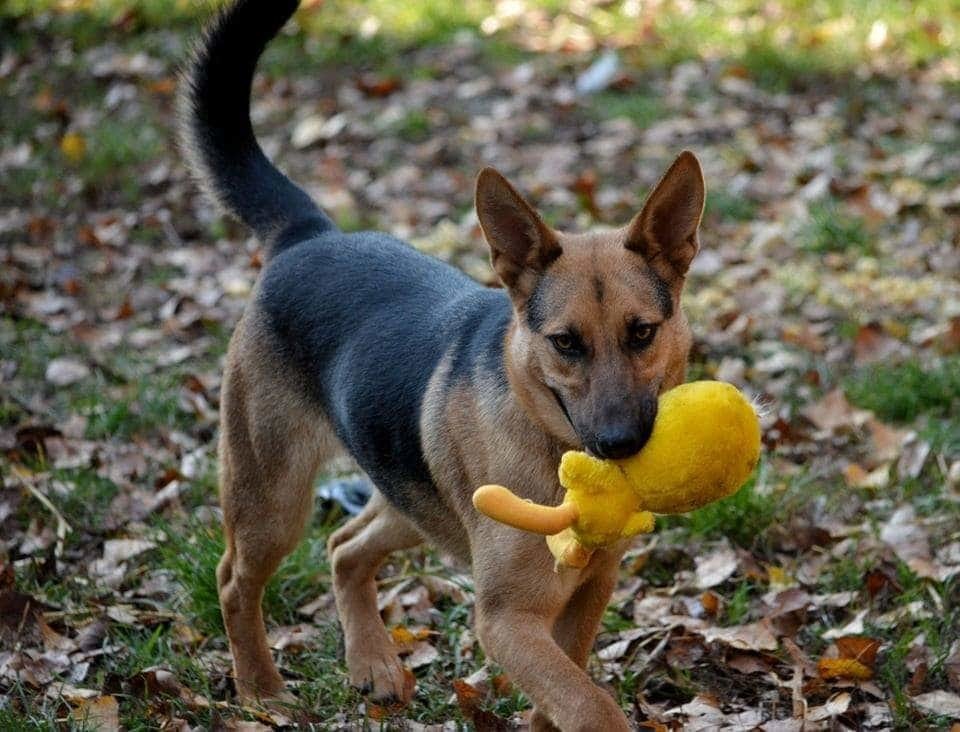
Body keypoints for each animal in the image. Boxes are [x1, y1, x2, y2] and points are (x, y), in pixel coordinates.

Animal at [180, 2, 704, 728]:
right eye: (566, 343)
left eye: (642, 333)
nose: (620, 444)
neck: (551, 444)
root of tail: (308, 234)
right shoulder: (507, 621)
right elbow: (588, 704)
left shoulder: (587, 594)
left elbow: (565, 693)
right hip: (273, 500)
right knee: (234, 580)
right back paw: (261, 690)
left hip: (409, 501)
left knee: (344, 549)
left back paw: (371, 663)